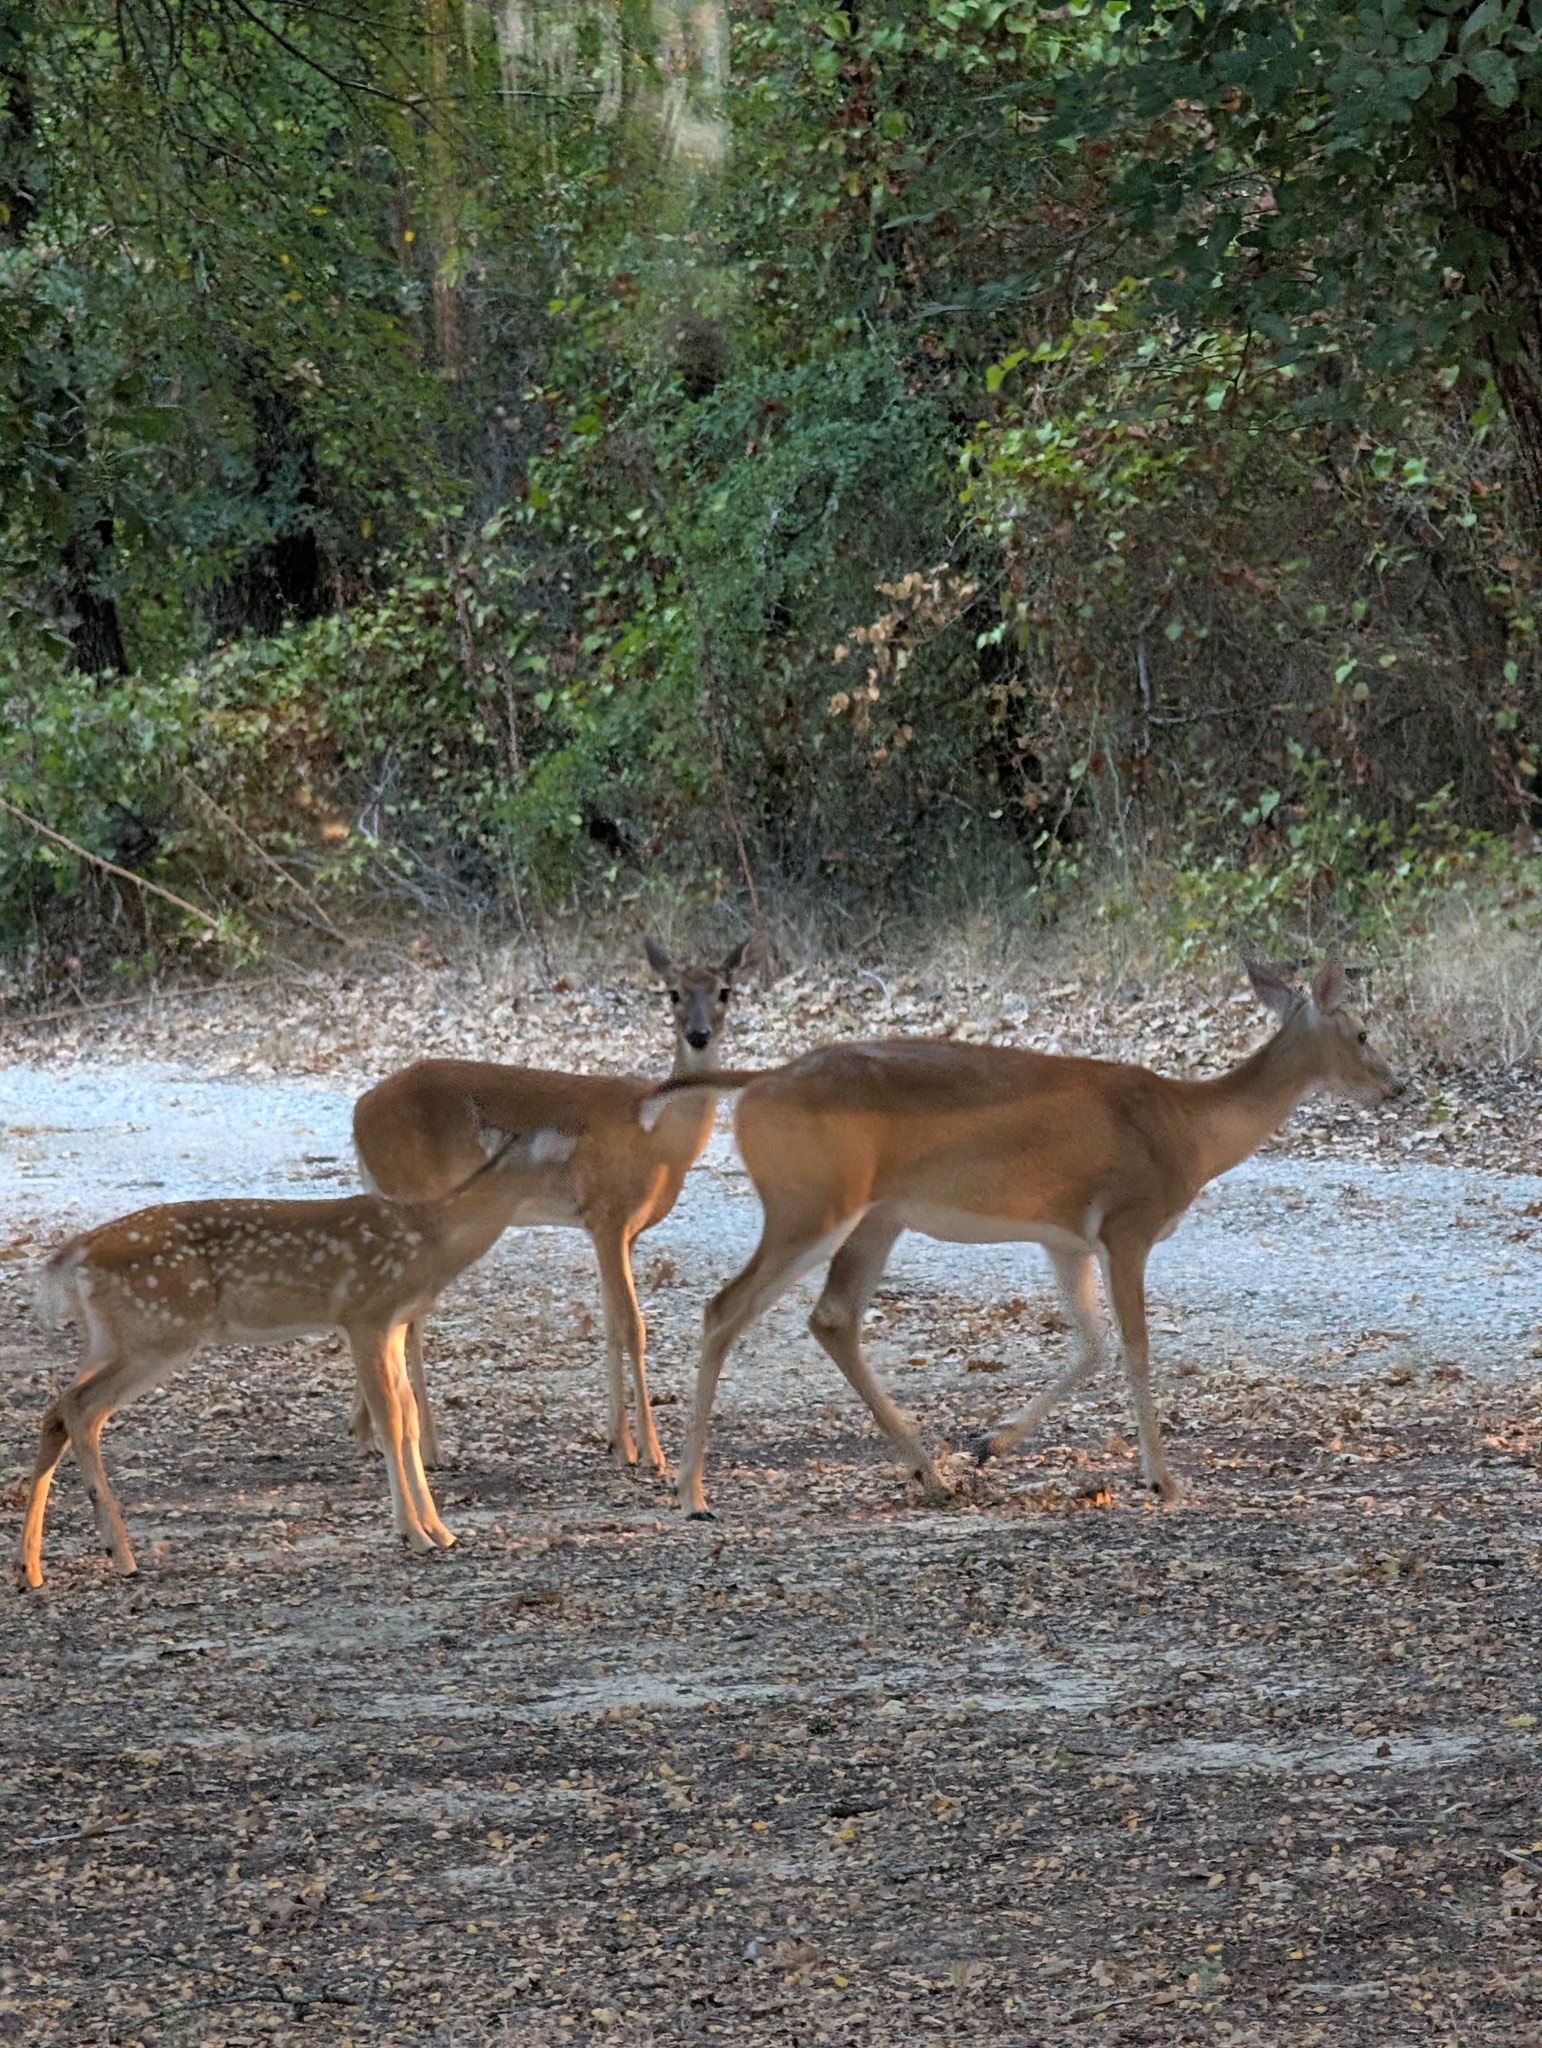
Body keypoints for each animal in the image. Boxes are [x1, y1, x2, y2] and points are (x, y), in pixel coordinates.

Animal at [15, 1127, 584, 1589]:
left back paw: (31, 1568)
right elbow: (389, 1417)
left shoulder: (394, 1322)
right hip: (158, 1332)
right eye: (560, 1162)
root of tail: (74, 1254)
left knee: (58, 1408)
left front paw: (439, 1530)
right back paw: (121, 1555)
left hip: (114, 1337)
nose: (585, 1204)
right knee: (81, 1408)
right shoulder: (365, 1313)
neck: (431, 1236)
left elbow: (407, 1416)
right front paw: (415, 1534)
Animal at [349, 933, 766, 1474]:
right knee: (407, 1313)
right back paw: (430, 1449)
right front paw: (652, 1453)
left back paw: (366, 1435)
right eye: (672, 992)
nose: (698, 1035)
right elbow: (633, 1326)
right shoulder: (607, 1215)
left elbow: (610, 1325)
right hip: (413, 1191)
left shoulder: (620, 1230)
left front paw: (619, 1444)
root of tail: (359, 1111)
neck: (659, 1136)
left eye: (725, 991)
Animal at [637, 960, 1403, 1518]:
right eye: (1364, 1032)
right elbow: (1136, 1348)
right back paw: (692, 1492)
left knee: (832, 1317)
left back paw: (932, 1474)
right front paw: (1163, 1479)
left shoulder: (1066, 1238)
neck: (1190, 1128)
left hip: (876, 1216)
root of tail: (757, 1084)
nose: (1397, 1086)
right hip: (810, 1202)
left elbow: (1091, 1343)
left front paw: (988, 1444)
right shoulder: (1128, 1223)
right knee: (726, 1307)